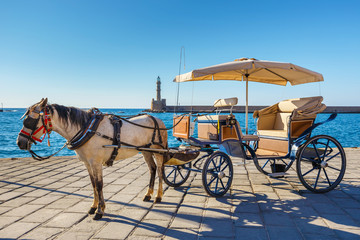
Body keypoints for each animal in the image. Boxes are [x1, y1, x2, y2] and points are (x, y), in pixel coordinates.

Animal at [16, 97, 168, 219]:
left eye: (30, 121)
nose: (19, 143)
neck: (88, 129)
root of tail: (157, 119)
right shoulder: (87, 163)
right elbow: (93, 184)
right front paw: (93, 207)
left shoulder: (96, 163)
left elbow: (99, 184)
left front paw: (100, 211)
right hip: (145, 150)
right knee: (152, 169)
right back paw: (148, 194)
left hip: (158, 150)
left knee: (160, 171)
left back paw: (158, 196)